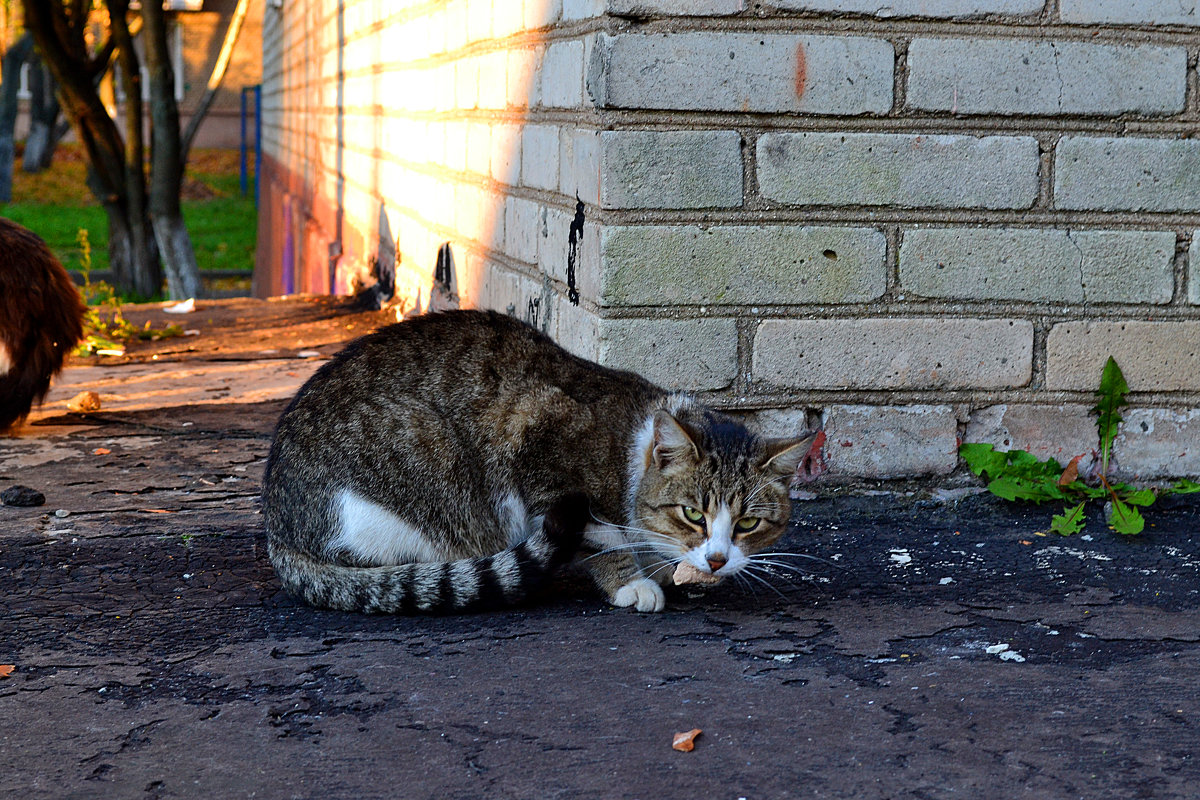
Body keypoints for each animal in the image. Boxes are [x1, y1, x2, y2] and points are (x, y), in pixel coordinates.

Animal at [265, 309, 816, 618]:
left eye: (748, 523)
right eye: (694, 514)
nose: (718, 559)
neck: (629, 450)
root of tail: (277, 528)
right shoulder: (535, 440)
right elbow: (602, 535)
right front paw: (633, 582)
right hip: (415, 467)